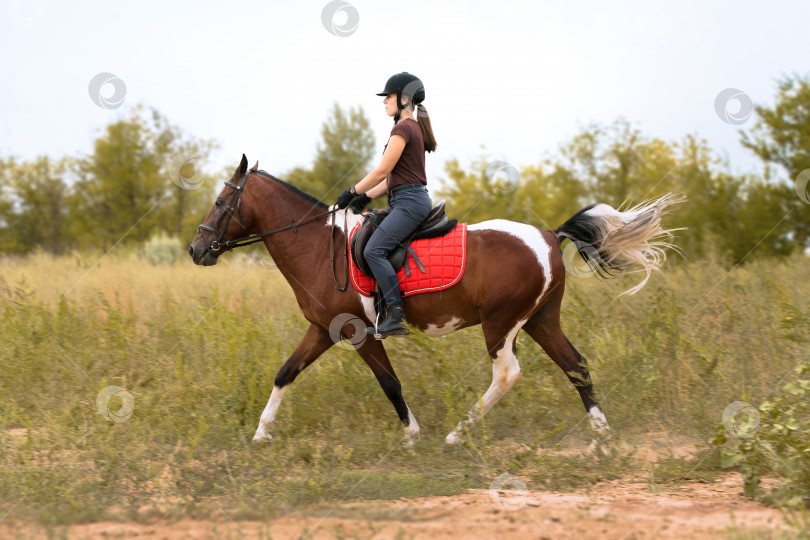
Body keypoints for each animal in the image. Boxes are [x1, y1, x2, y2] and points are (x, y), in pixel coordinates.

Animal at [189, 155, 680, 448]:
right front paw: (260, 433)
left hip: (501, 324)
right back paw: (602, 436)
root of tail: (548, 235)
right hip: (541, 319)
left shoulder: (358, 332)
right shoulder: (322, 330)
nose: (197, 249)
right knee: (575, 364)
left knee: (508, 374)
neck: (318, 247)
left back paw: (457, 435)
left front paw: (412, 434)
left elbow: (390, 383)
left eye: (220, 202)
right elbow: (285, 373)